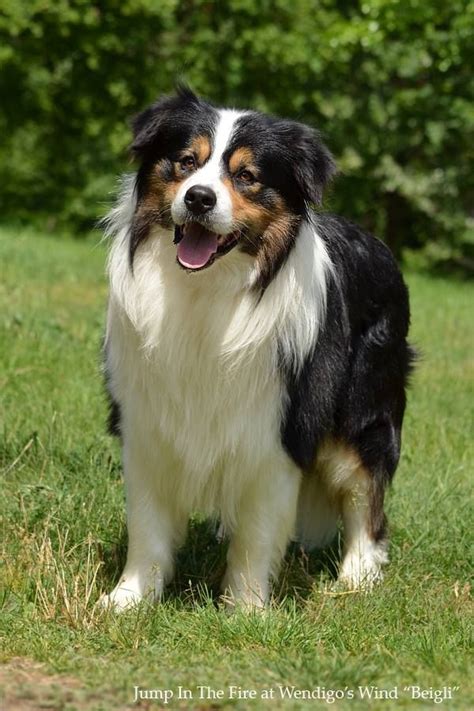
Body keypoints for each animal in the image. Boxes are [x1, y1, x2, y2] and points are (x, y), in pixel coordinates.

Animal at [102, 87, 412, 612]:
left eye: (246, 176)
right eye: (186, 162)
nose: (199, 198)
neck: (206, 293)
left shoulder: (278, 430)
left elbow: (257, 533)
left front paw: (245, 611)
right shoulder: (147, 422)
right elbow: (147, 524)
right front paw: (129, 598)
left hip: (362, 412)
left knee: (364, 495)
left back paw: (357, 576)